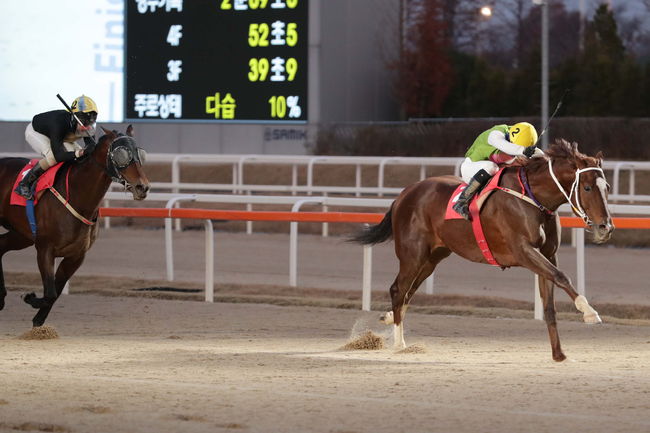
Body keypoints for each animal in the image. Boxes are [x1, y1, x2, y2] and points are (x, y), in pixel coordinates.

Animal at [0, 125, 148, 324]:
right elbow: (50, 293)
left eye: (140, 153)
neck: (78, 197)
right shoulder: (45, 249)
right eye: (122, 154)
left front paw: (38, 319)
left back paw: (1, 296)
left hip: (22, 234)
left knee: (1, 245)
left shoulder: (76, 256)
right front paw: (29, 297)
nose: (142, 187)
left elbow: (54, 294)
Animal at [352, 139, 612, 362]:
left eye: (607, 187)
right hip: (412, 254)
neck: (533, 197)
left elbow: (550, 305)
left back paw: (389, 319)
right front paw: (590, 312)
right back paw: (400, 344)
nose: (605, 227)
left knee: (409, 292)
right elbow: (562, 276)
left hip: (433, 257)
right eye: (587, 187)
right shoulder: (523, 251)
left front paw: (559, 354)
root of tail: (403, 195)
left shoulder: (547, 255)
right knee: (398, 289)